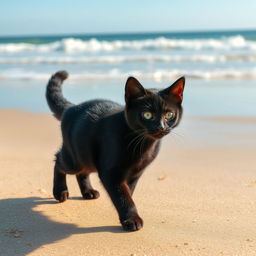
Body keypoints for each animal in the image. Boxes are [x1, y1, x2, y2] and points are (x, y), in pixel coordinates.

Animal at [46, 70, 185, 232]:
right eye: (147, 114)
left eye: (169, 115)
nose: (160, 127)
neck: (143, 144)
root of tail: (72, 107)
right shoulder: (111, 173)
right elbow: (122, 195)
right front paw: (131, 219)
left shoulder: (136, 173)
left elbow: (128, 191)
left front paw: (125, 216)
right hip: (74, 160)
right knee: (59, 161)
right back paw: (60, 191)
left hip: (86, 157)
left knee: (82, 172)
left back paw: (88, 192)